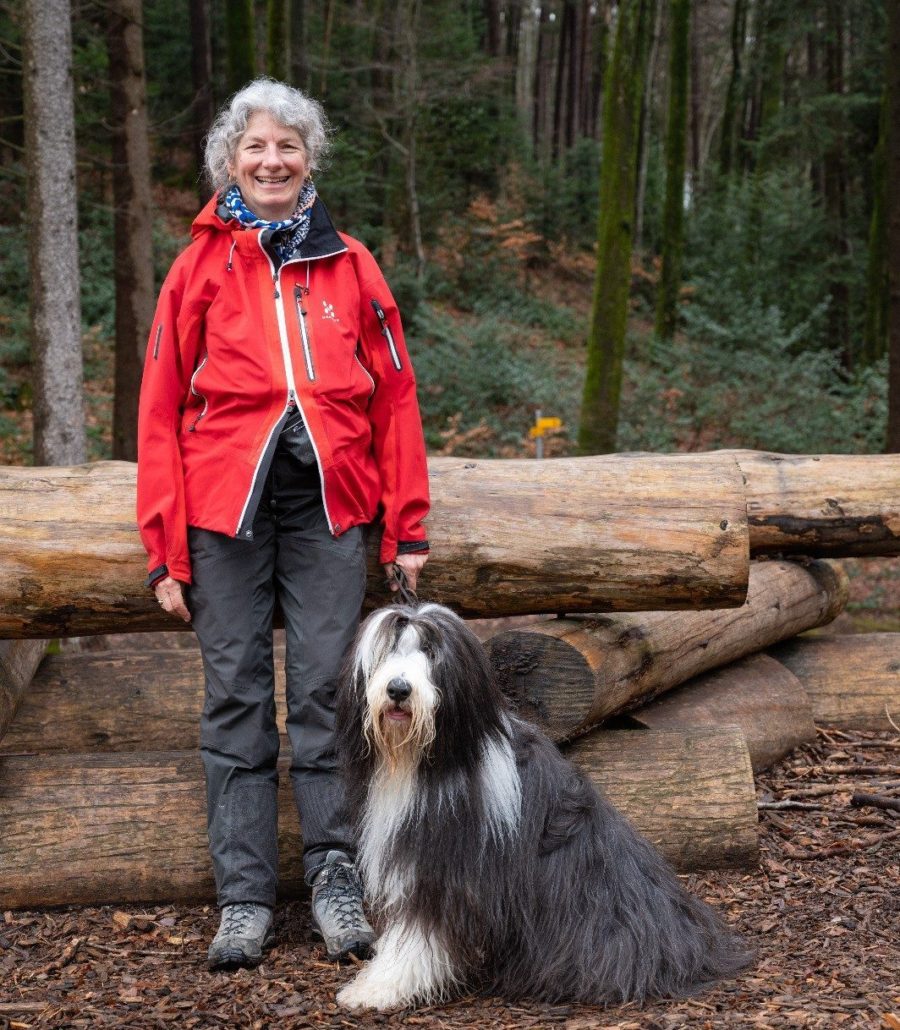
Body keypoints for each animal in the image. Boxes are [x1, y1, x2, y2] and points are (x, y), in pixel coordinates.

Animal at [333, 601, 745, 1009]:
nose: (398, 689)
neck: (434, 758)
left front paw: (378, 988)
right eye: (389, 650)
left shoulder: (444, 867)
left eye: (432, 653)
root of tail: (689, 949)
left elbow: (419, 932)